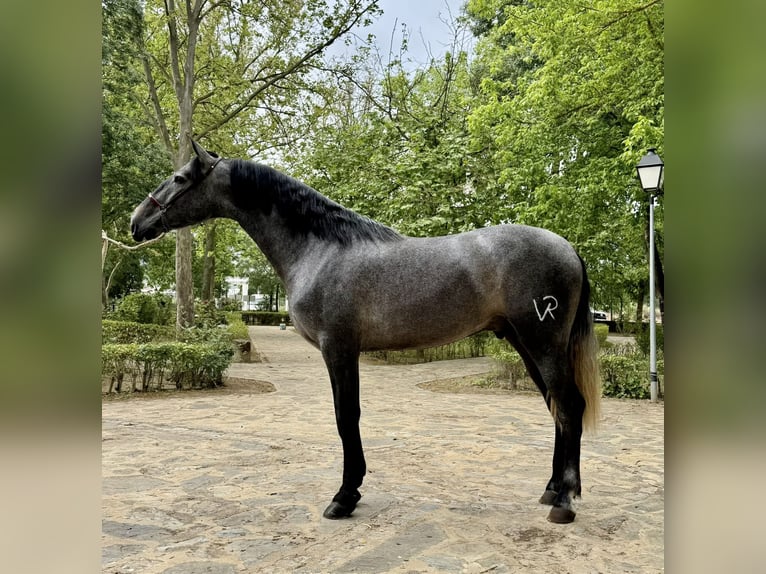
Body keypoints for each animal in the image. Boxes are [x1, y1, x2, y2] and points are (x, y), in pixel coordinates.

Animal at [130, 140, 601, 524]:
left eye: (179, 178)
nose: (137, 222)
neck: (320, 249)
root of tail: (569, 248)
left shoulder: (338, 348)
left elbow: (346, 417)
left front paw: (344, 495)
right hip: (525, 345)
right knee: (558, 408)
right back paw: (552, 490)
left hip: (542, 344)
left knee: (569, 406)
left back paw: (564, 502)